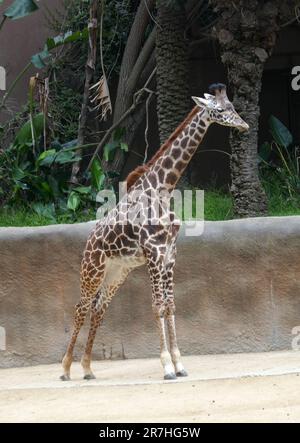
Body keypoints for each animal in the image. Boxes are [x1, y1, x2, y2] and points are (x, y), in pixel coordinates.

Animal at [60, 83, 248, 382]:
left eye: (232, 106)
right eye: (220, 110)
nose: (244, 125)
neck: (163, 188)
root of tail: (88, 243)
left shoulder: (169, 255)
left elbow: (170, 306)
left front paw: (180, 364)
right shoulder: (153, 253)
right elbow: (157, 306)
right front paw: (167, 367)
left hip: (117, 273)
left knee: (99, 309)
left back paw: (88, 368)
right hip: (92, 270)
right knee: (81, 308)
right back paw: (66, 368)